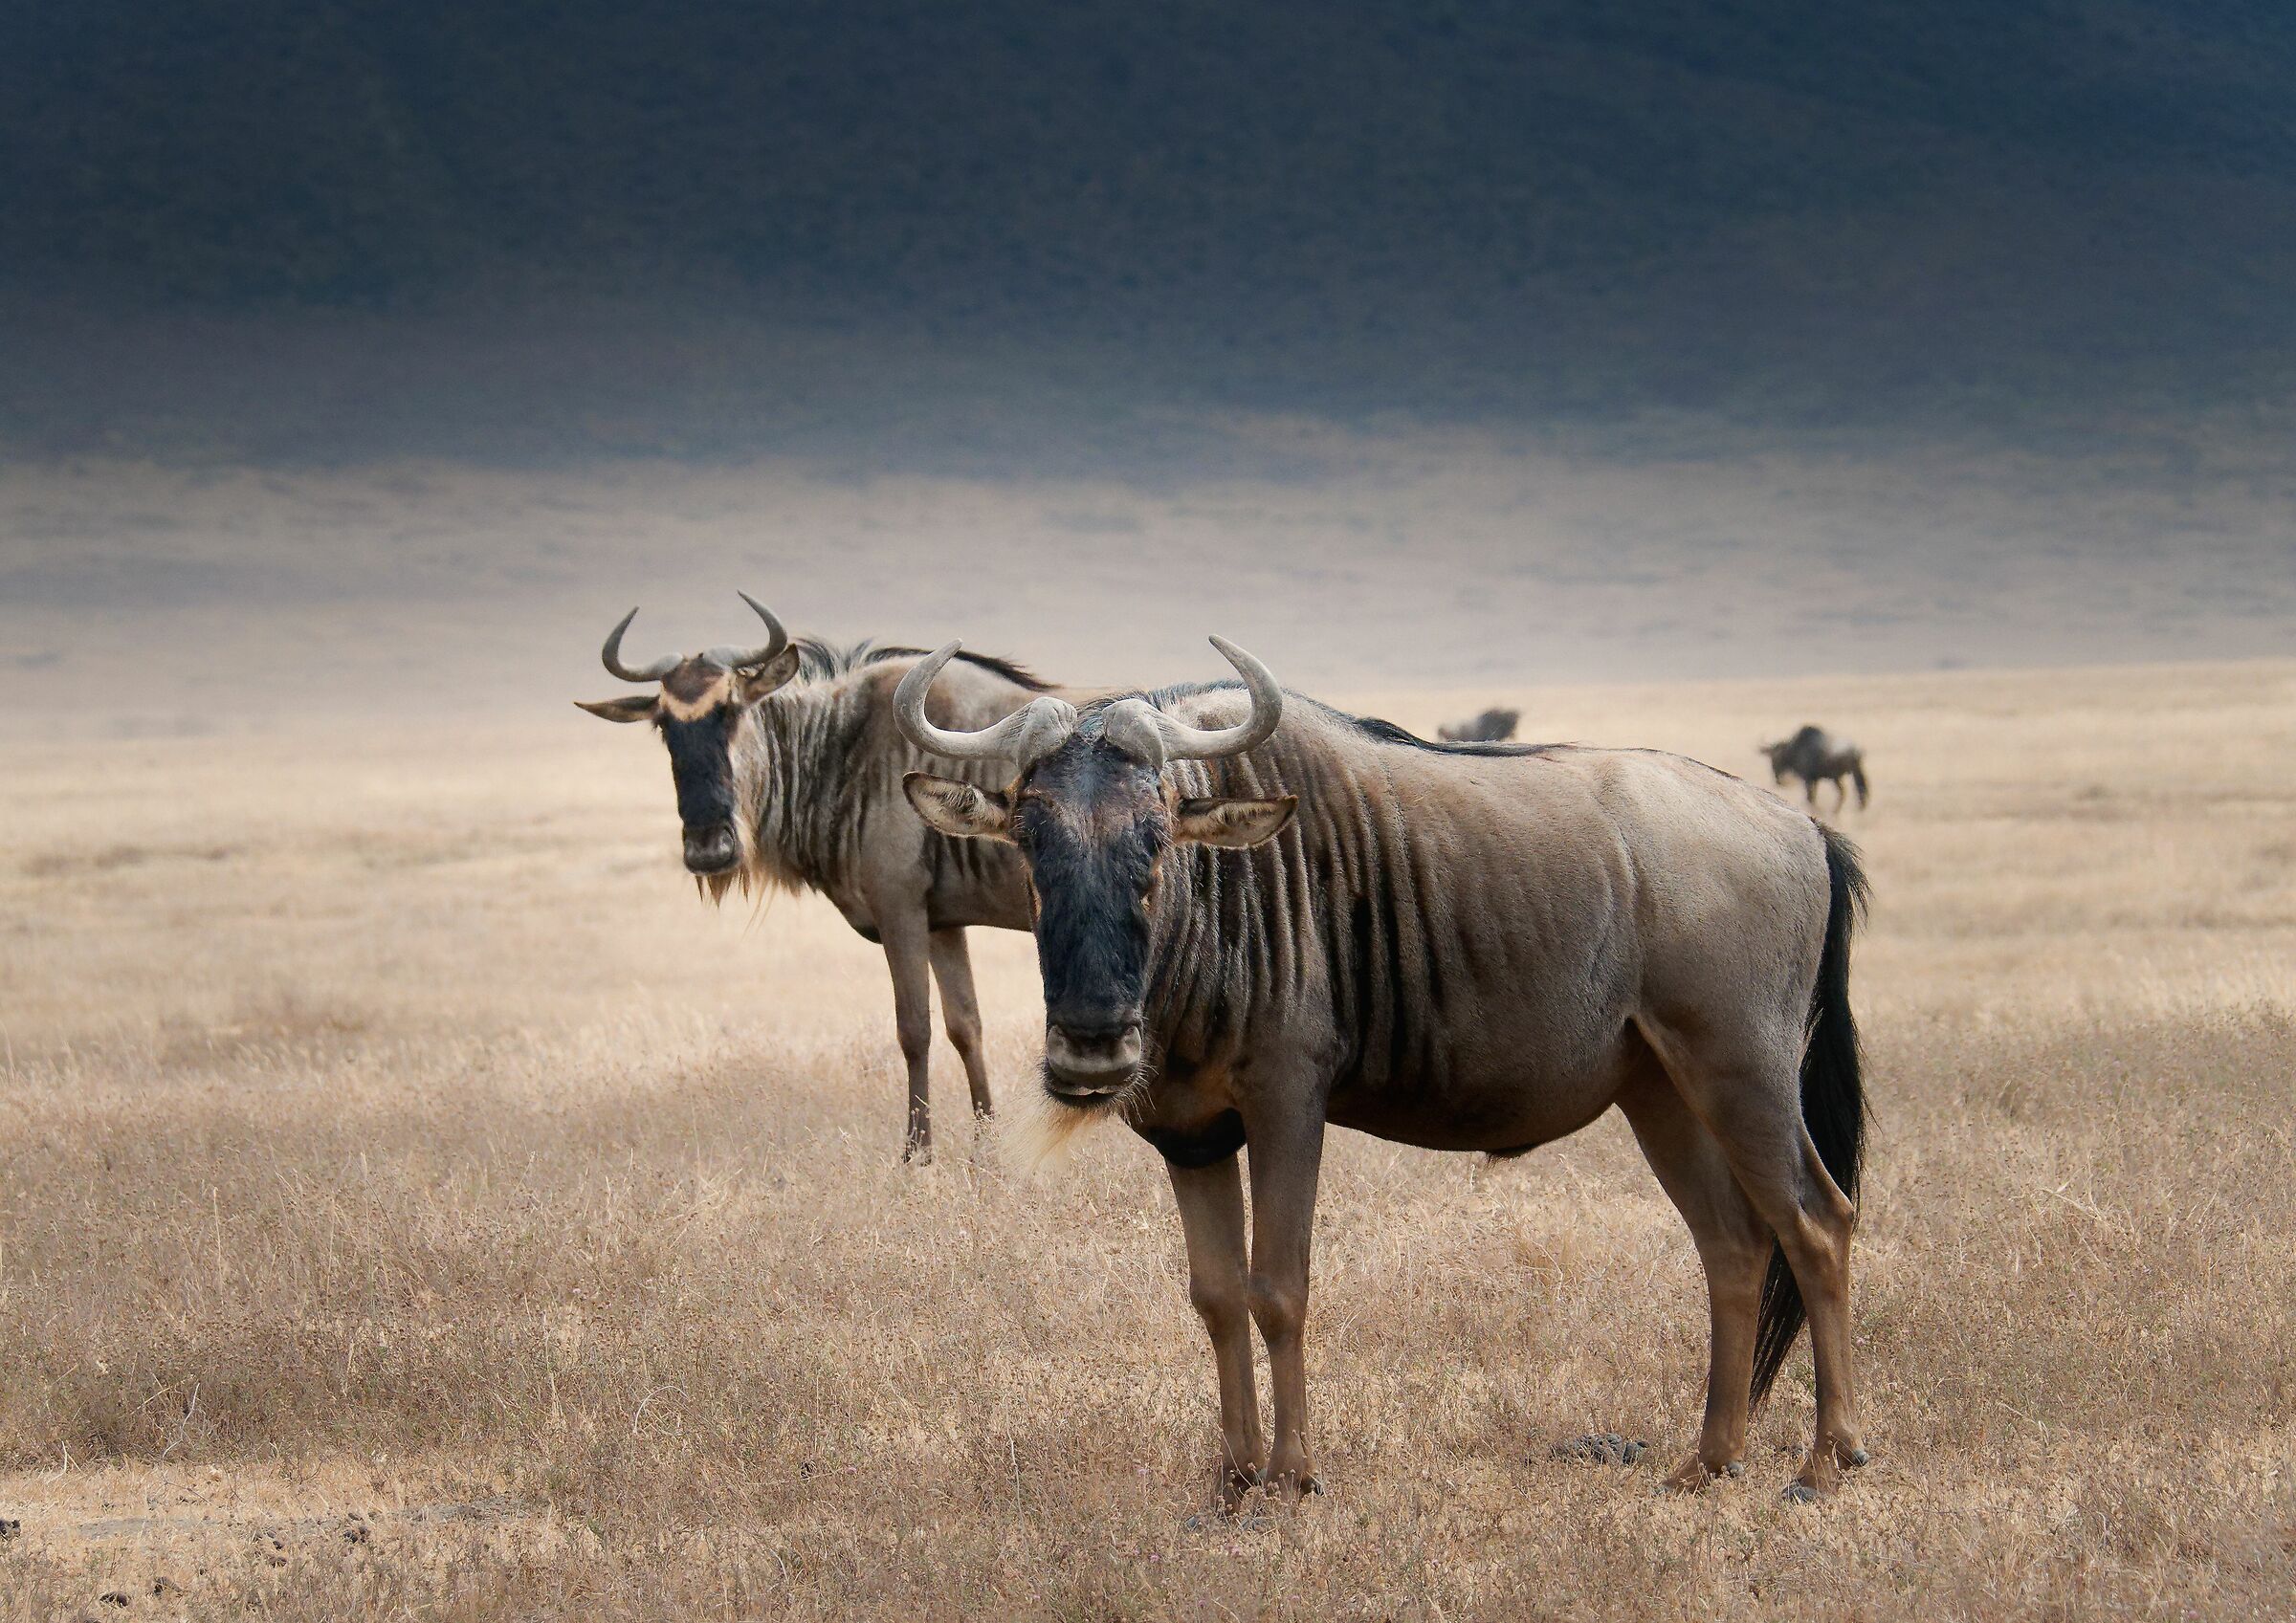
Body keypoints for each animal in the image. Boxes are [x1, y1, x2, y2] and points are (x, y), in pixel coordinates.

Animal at [578, 595, 1067, 1160]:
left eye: (731, 710)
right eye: (663, 725)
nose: (708, 848)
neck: (845, 751)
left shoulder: (899, 911)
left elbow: (913, 1029)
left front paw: (916, 1154)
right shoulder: (943, 922)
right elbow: (965, 1026)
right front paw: (985, 1152)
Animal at [897, 638, 1871, 1506]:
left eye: (1157, 839)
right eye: (1030, 838)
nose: (1092, 1048)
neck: (1218, 902)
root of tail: (1801, 826)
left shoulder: (1288, 1104)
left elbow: (1278, 1288)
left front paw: (1291, 1478)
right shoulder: (1191, 1135)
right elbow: (1216, 1296)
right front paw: (1232, 1479)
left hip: (1744, 1075)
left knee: (1818, 1223)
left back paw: (1825, 1463)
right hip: (1662, 1092)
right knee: (1732, 1244)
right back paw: (1708, 1462)